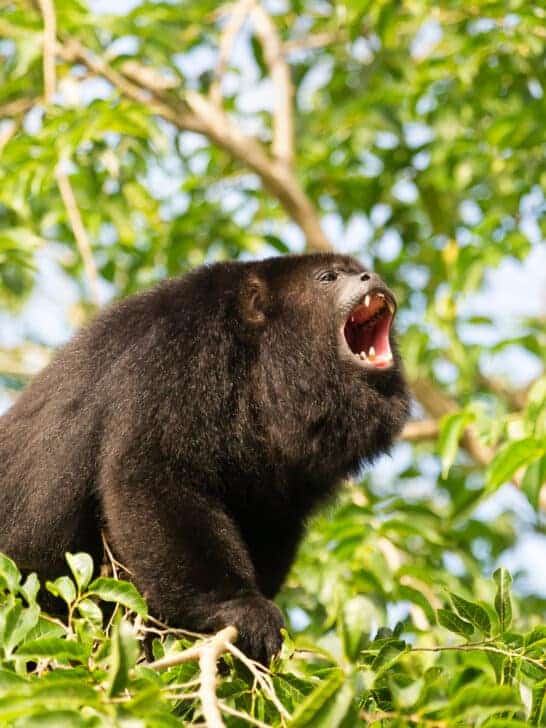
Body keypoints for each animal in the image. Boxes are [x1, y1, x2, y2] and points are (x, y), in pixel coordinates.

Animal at [0, 253, 410, 664]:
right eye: (328, 277)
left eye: (358, 269)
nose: (369, 276)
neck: (256, 355)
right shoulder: (176, 356)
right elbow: (152, 477)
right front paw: (239, 607)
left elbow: (271, 517)